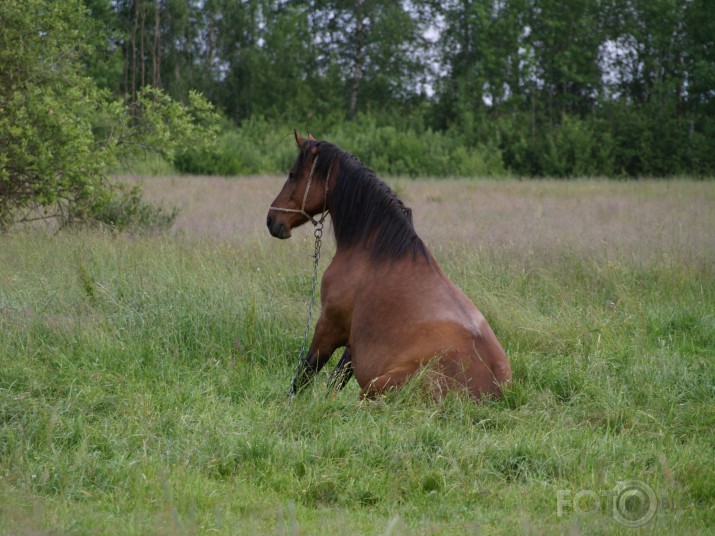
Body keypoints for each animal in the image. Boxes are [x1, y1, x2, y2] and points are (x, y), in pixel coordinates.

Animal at [266, 133, 512, 402]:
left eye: (293, 174)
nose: (272, 220)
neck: (374, 249)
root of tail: (494, 391)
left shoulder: (328, 326)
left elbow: (304, 375)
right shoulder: (351, 343)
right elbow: (335, 381)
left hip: (375, 386)